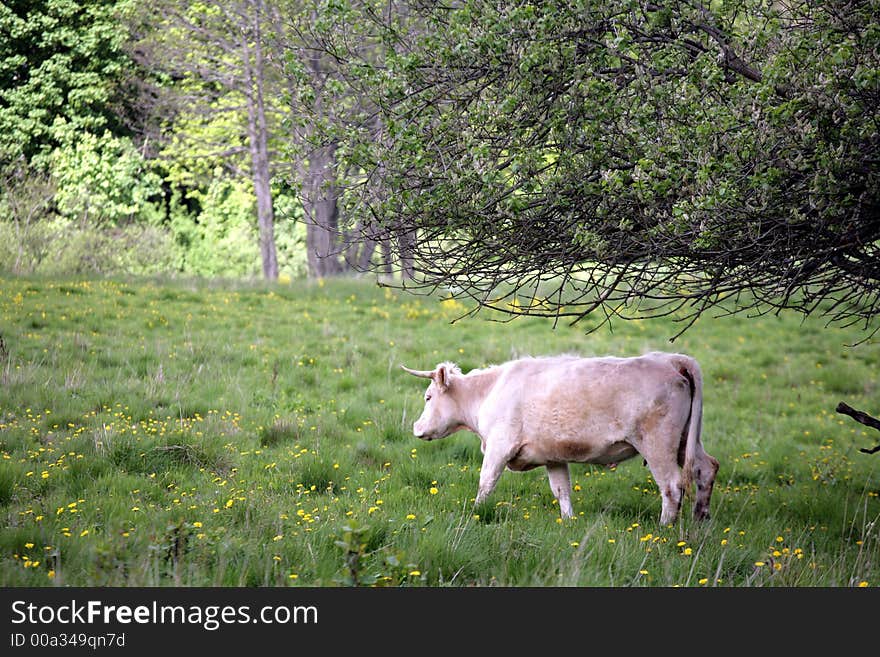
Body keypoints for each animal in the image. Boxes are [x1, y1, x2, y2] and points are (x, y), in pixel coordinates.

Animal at [402, 354, 720, 524]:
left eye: (428, 397)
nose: (416, 428)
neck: (489, 390)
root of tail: (671, 359)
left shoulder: (498, 447)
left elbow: (486, 482)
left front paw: (476, 512)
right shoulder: (552, 456)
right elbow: (562, 490)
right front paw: (568, 522)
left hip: (657, 445)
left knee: (671, 486)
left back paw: (665, 527)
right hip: (686, 442)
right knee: (706, 469)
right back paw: (700, 518)